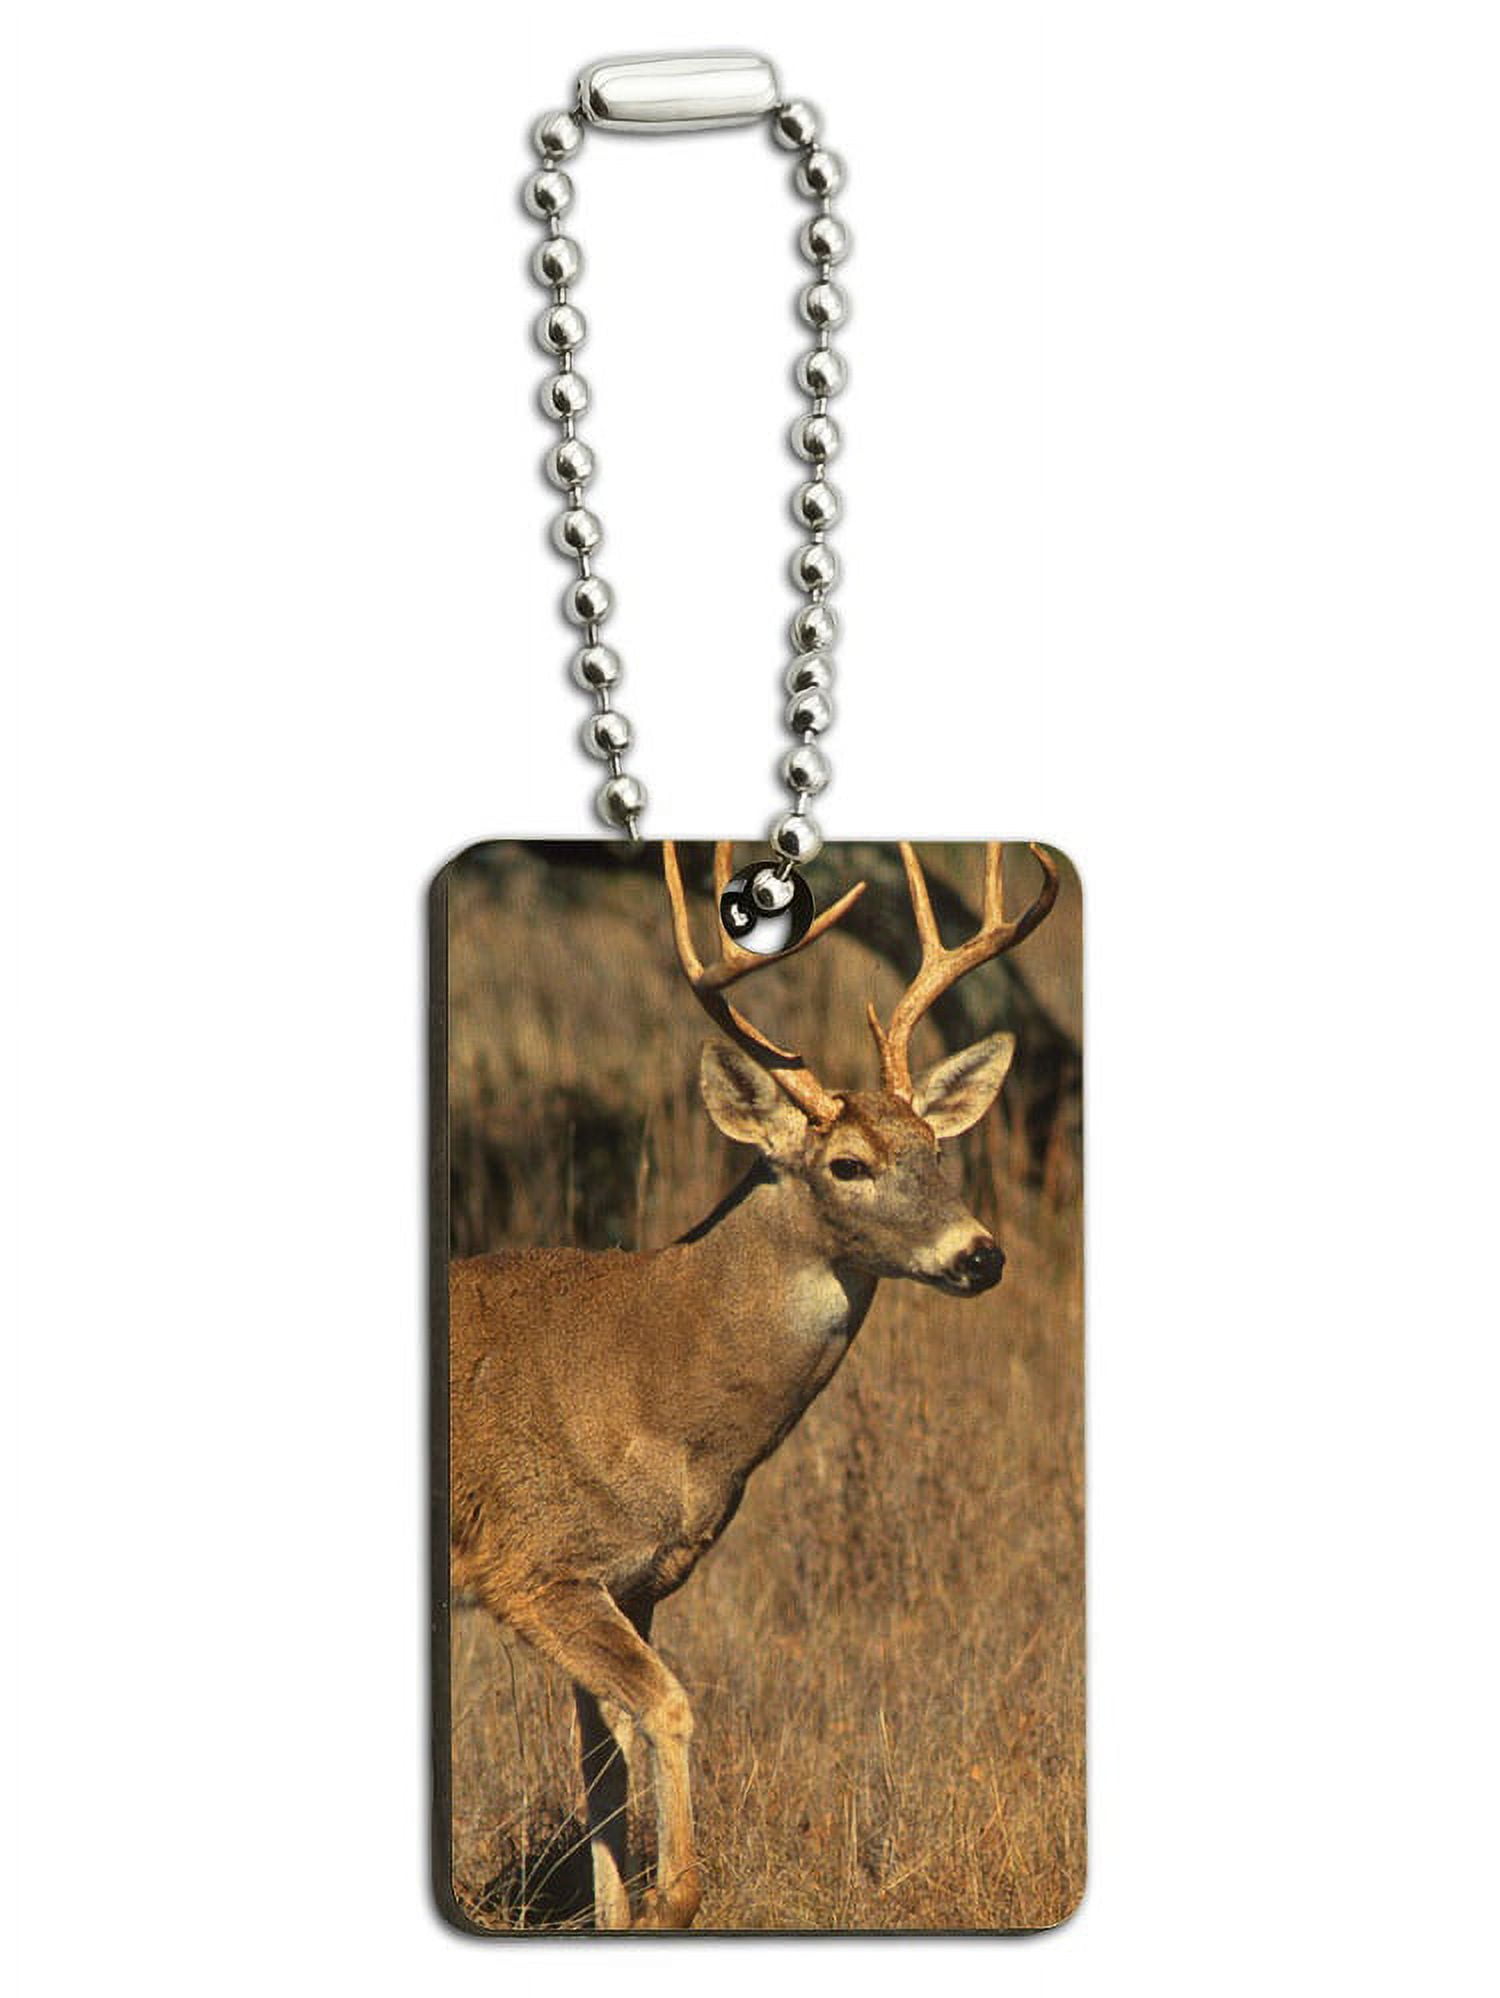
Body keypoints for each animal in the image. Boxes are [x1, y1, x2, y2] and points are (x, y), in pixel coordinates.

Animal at [448, 839, 1059, 1930]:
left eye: (937, 1151)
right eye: (849, 1164)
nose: (981, 1255)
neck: (656, 1385)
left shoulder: (634, 1581)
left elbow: (603, 1762)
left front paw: (625, 1911)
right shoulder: (529, 1562)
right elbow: (668, 1707)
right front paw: (677, 1899)